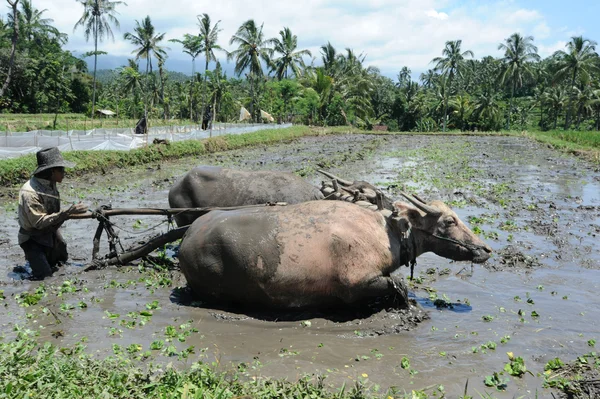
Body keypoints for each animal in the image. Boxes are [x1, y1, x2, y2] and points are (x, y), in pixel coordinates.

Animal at [176, 195, 490, 310]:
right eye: (449, 221)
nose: (485, 249)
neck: (385, 232)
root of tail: (188, 236)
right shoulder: (355, 283)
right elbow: (397, 285)